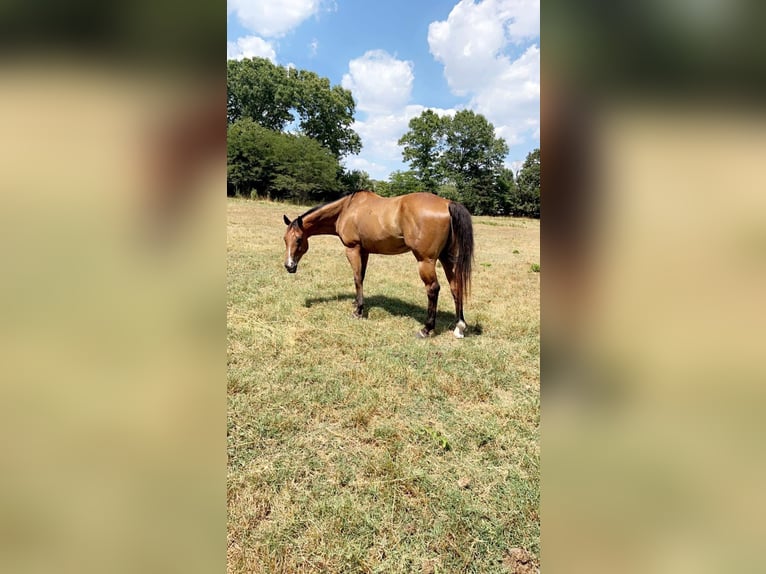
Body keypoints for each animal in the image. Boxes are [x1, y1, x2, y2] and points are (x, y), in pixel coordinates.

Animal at [284, 191, 474, 340]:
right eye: (285, 239)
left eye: (299, 240)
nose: (289, 266)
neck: (346, 209)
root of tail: (447, 204)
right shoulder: (364, 251)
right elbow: (361, 277)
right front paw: (357, 303)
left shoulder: (352, 249)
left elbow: (356, 278)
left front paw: (358, 311)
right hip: (446, 258)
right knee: (455, 286)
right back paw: (459, 327)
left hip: (425, 261)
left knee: (433, 289)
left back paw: (426, 329)